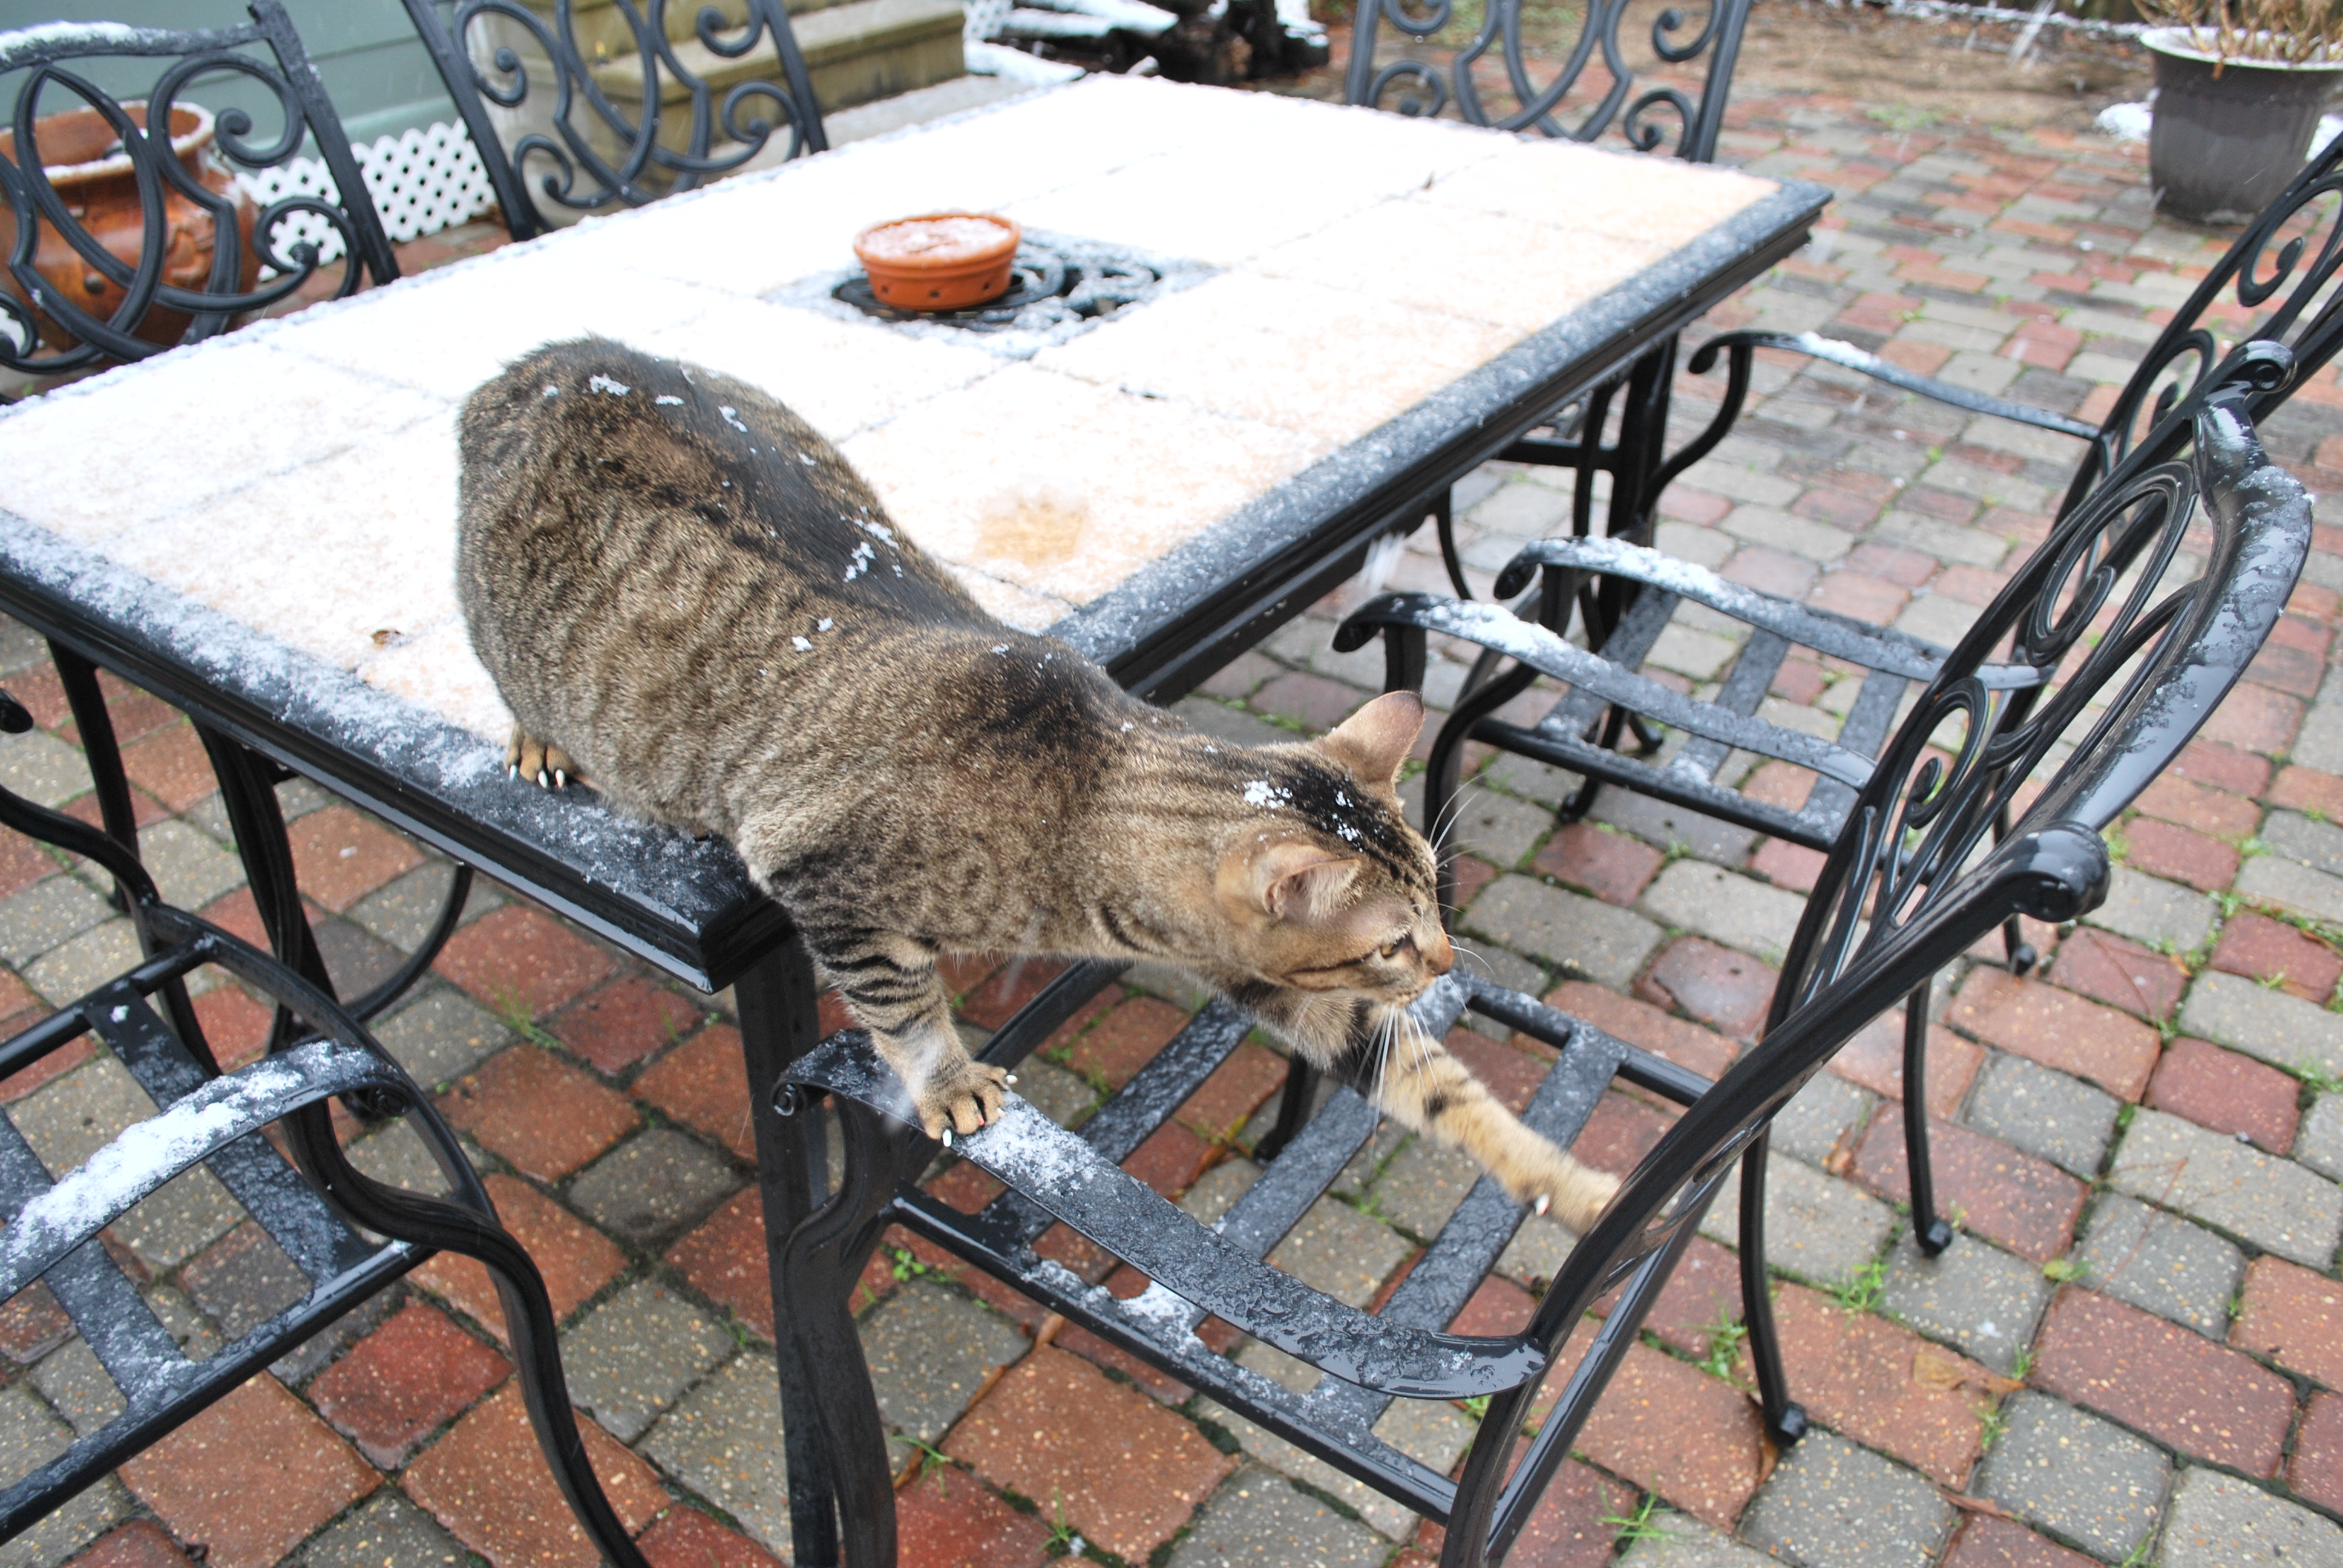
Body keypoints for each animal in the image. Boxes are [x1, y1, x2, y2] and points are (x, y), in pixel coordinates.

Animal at [455, 338, 1620, 1232]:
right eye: (1391, 942)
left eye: (1434, 903)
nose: (1447, 958)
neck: (1083, 799)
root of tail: (542, 359)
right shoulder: (824, 883)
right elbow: (904, 1007)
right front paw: (950, 1079)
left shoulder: (1273, 983)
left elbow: (1442, 1092)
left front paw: (1575, 1189)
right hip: (519, 645)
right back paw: (535, 741)